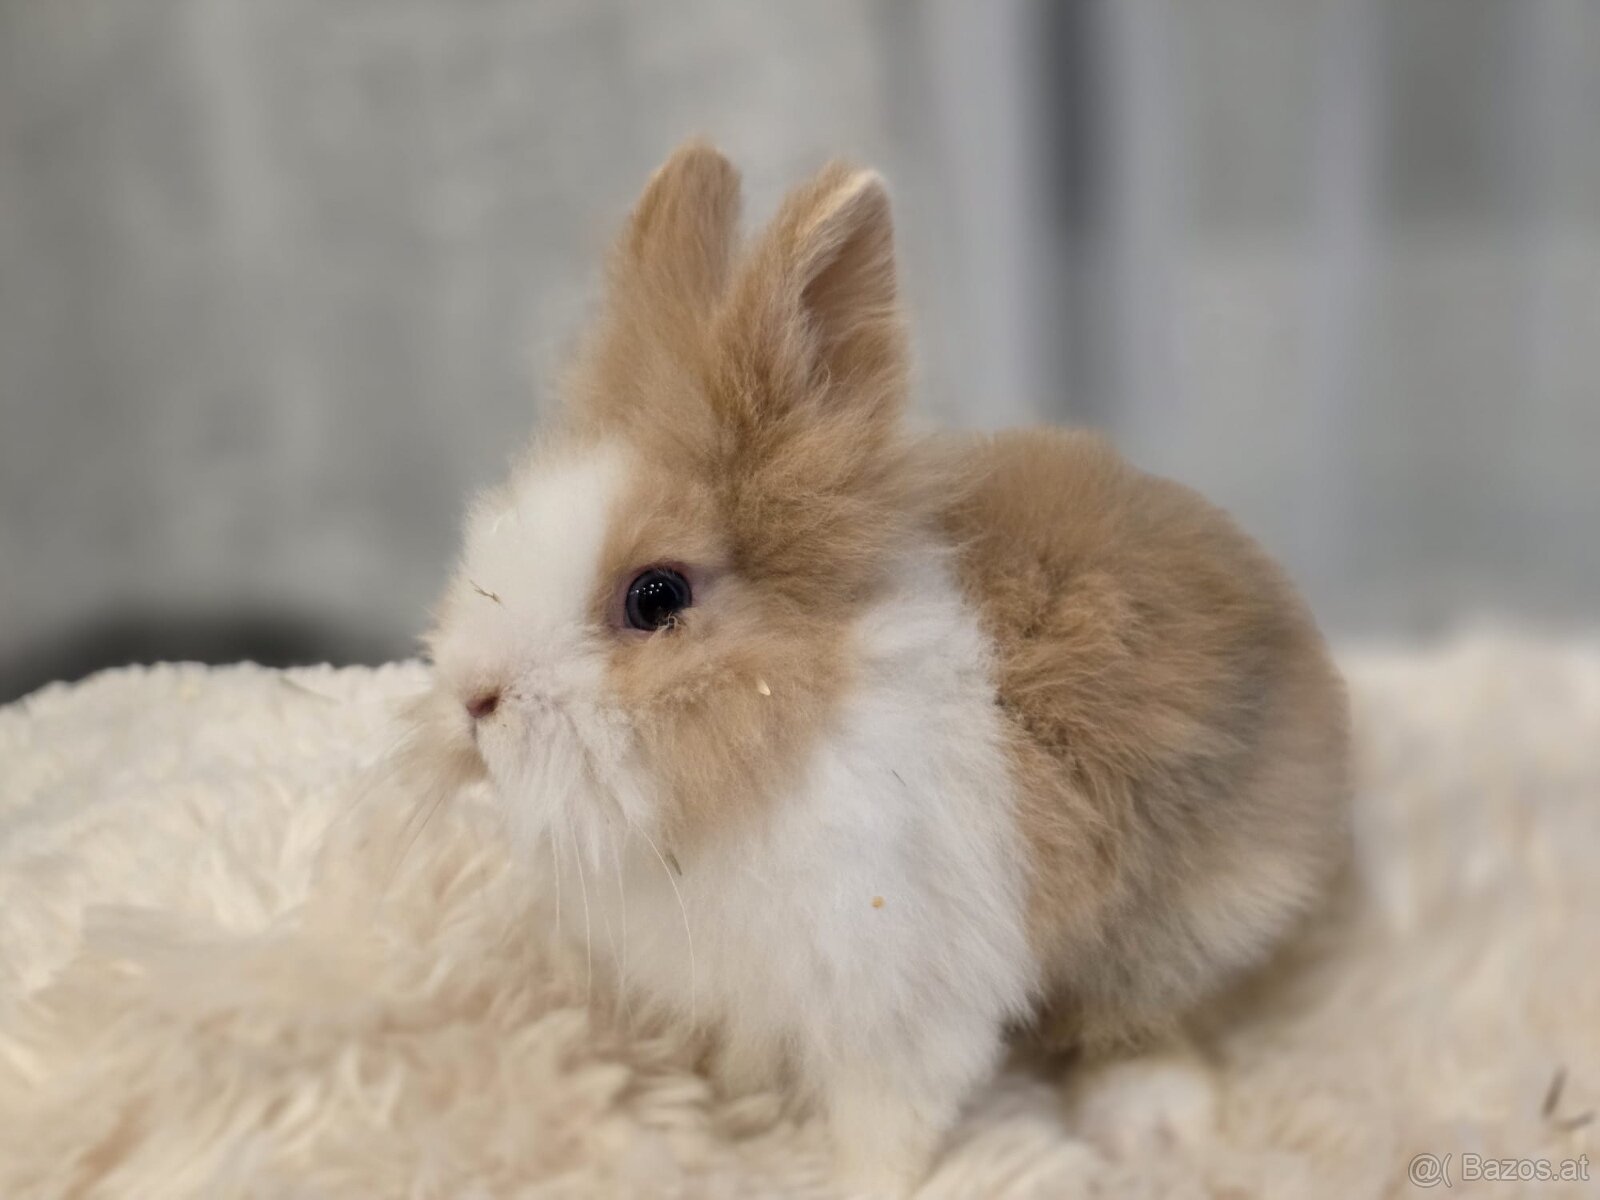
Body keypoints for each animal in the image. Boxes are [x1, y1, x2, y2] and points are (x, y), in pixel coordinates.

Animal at [416, 142, 1351, 1194]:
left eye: (654, 597)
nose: (471, 701)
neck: (788, 743)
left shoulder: (903, 1001)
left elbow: (887, 1117)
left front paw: (858, 1180)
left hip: (1185, 920)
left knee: (1144, 1019)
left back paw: (1150, 1128)